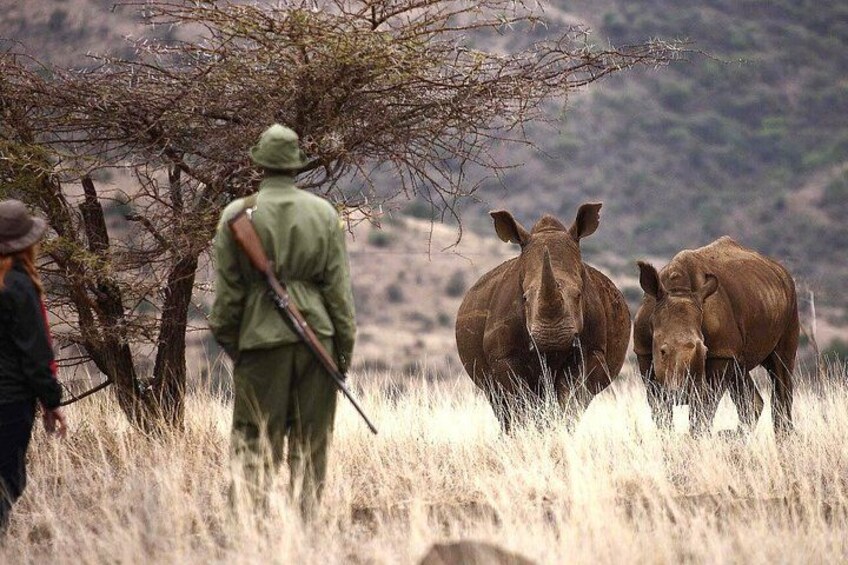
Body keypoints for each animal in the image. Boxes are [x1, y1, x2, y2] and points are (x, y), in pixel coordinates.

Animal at [455, 203, 631, 430]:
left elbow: (571, 399)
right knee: (498, 400)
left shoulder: (592, 350)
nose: (552, 338)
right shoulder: (504, 356)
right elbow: (519, 402)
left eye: (579, 295)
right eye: (524, 297)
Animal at [634, 236, 799, 435]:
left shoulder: (720, 352)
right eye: (662, 351)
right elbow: (659, 408)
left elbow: (704, 407)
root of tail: (780, 270)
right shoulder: (643, 351)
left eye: (705, 352)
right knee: (742, 373)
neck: (678, 290)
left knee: (781, 366)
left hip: (791, 302)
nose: (682, 394)